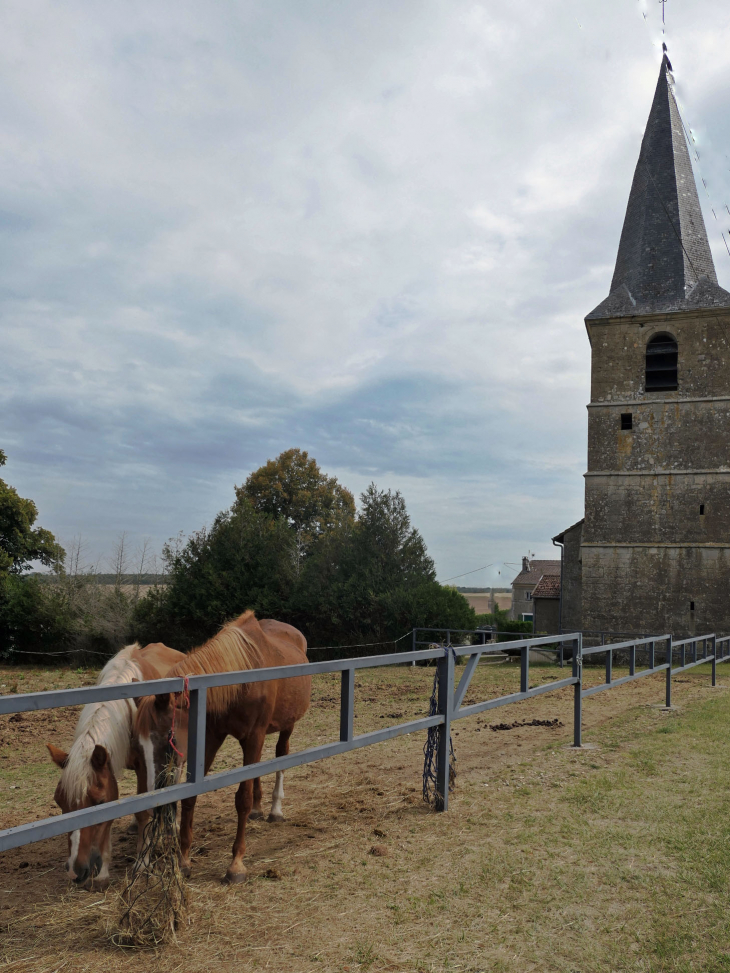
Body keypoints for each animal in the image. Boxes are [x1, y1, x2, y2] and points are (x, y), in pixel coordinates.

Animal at [46, 640, 185, 884]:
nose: (75, 871)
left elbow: (144, 810)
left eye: (100, 802)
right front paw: (103, 871)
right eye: (60, 802)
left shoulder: (145, 767)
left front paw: (142, 861)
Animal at [134, 612, 310, 884]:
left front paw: (236, 865)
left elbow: (242, 799)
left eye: (167, 737)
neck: (239, 678)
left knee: (281, 756)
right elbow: (191, 796)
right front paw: (184, 860)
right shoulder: (211, 736)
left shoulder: (254, 735)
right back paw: (259, 809)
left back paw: (275, 810)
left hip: (287, 725)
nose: (154, 799)